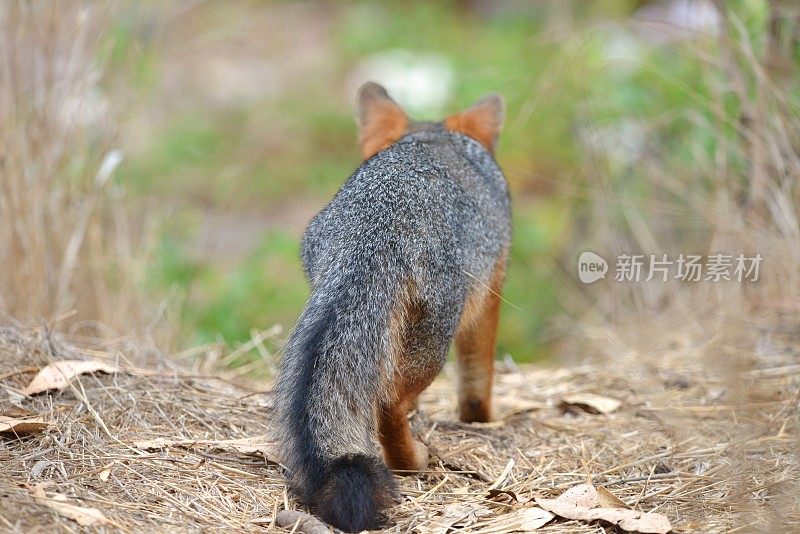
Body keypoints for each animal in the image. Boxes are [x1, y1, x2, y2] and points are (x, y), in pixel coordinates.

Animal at [276, 81, 512, 532]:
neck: (430, 139)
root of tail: (376, 227)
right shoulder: (491, 289)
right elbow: (478, 378)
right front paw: (483, 420)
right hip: (435, 340)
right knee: (387, 402)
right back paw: (412, 461)